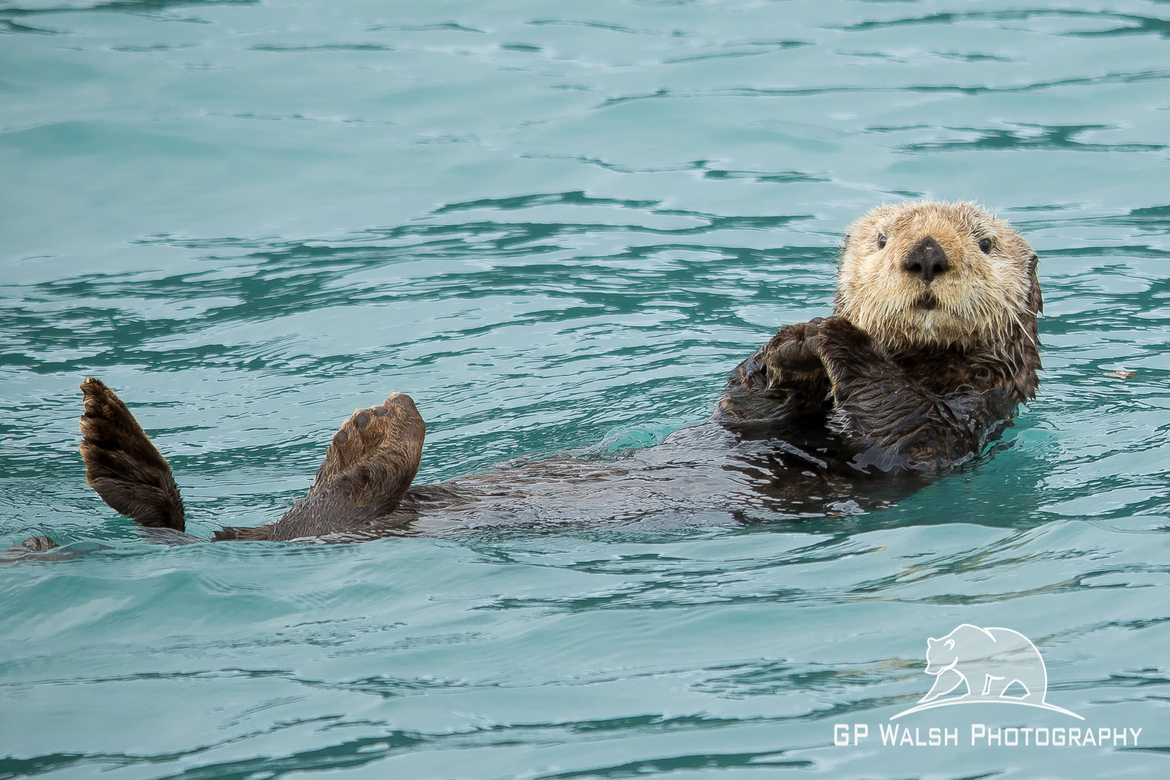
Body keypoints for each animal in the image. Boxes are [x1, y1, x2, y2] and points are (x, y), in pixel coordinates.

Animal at [25, 201, 1042, 546]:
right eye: (881, 236)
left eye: (983, 242)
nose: (923, 254)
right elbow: (744, 414)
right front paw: (784, 351)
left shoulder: (964, 421)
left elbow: (902, 426)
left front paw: (831, 336)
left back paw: (377, 434)